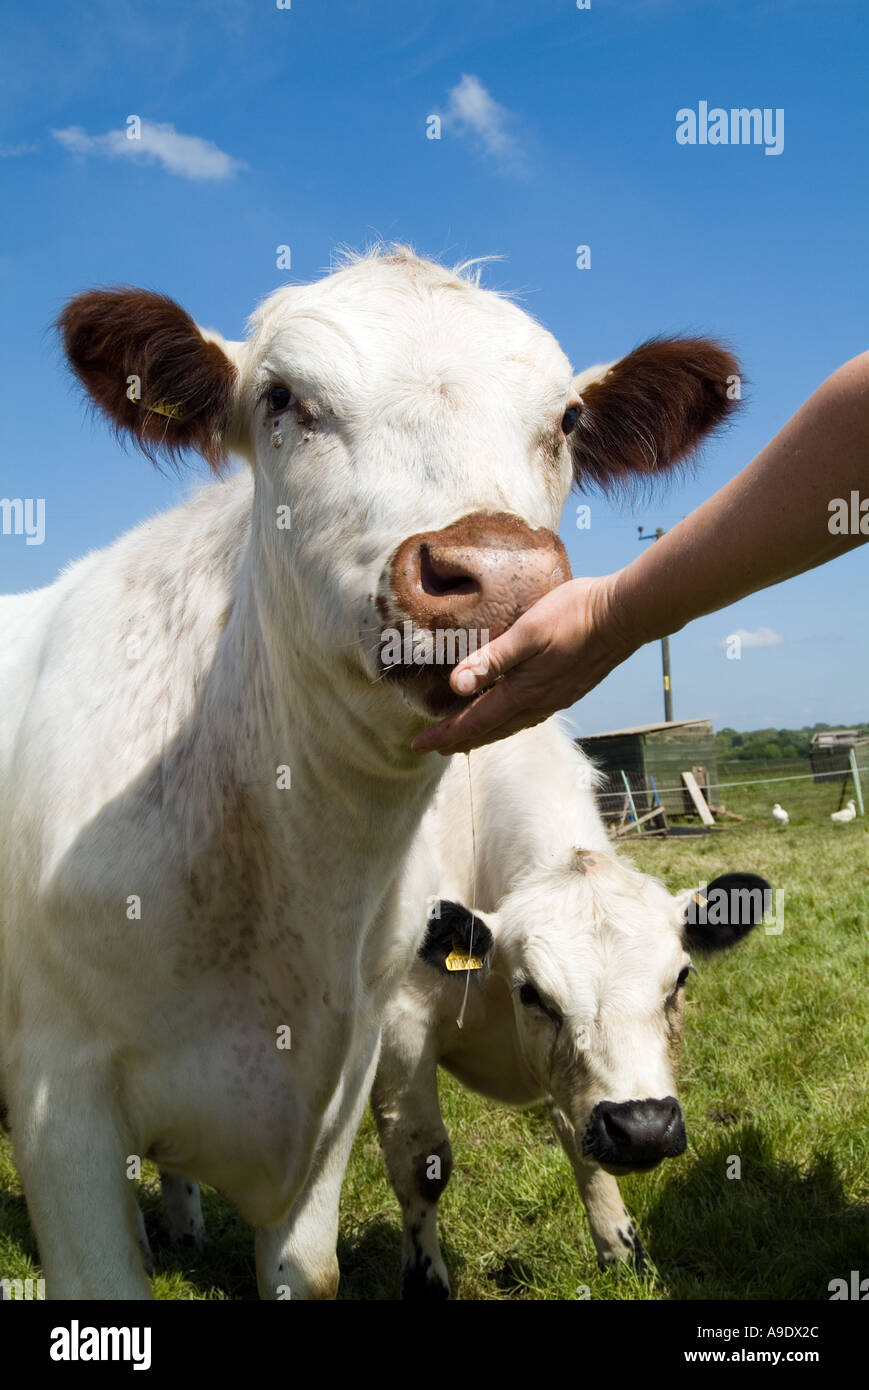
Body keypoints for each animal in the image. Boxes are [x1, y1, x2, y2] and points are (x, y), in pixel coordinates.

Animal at [370, 721, 768, 1297]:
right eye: (531, 992)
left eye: (681, 978)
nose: (643, 1127)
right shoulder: (400, 1026)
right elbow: (421, 1164)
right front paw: (425, 1284)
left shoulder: (570, 1081)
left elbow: (578, 1144)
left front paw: (623, 1255)